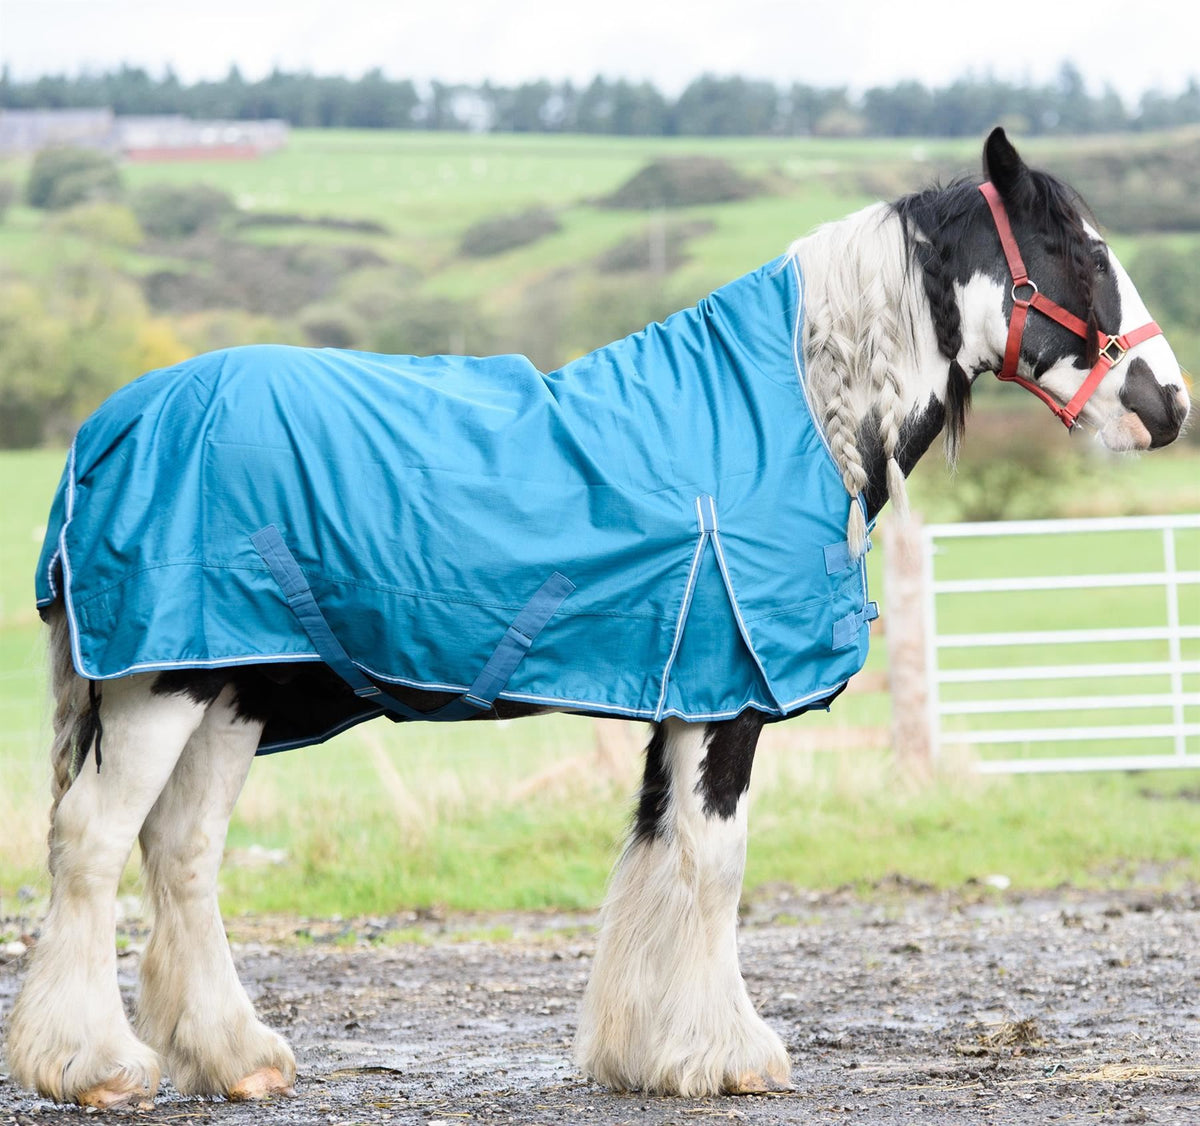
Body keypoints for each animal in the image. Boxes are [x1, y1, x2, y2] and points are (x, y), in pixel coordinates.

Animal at [5, 128, 1189, 1108]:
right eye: (1083, 253)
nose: (1168, 404)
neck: (787, 415)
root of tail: (108, 426)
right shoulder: (727, 704)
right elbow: (714, 864)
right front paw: (729, 1055)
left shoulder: (684, 697)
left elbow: (655, 856)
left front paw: (646, 1051)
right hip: (161, 686)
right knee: (91, 842)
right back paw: (92, 1065)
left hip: (233, 690)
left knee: (182, 852)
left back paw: (234, 1059)